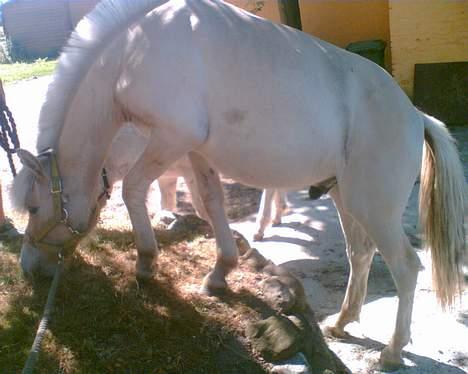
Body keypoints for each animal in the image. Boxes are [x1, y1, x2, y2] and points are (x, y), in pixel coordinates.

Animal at [10, 0, 464, 370]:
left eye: (33, 207)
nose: (29, 268)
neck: (132, 52)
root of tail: (416, 115)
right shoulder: (194, 152)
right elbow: (211, 203)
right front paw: (219, 274)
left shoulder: (171, 138)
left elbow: (133, 190)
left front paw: (146, 264)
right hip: (345, 197)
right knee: (361, 254)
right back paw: (341, 322)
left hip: (374, 206)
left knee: (406, 267)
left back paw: (392, 350)